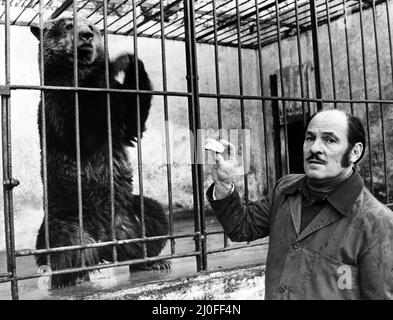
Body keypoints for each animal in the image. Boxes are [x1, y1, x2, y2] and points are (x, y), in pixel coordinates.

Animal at [31, 16, 169, 288]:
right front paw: (110, 65)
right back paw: (73, 276)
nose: (86, 35)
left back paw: (151, 261)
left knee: (154, 220)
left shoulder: (118, 111)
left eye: (93, 27)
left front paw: (130, 60)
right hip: (66, 219)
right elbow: (77, 126)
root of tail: (106, 244)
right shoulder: (57, 98)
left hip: (130, 212)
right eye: (68, 24)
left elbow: (131, 121)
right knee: (62, 248)